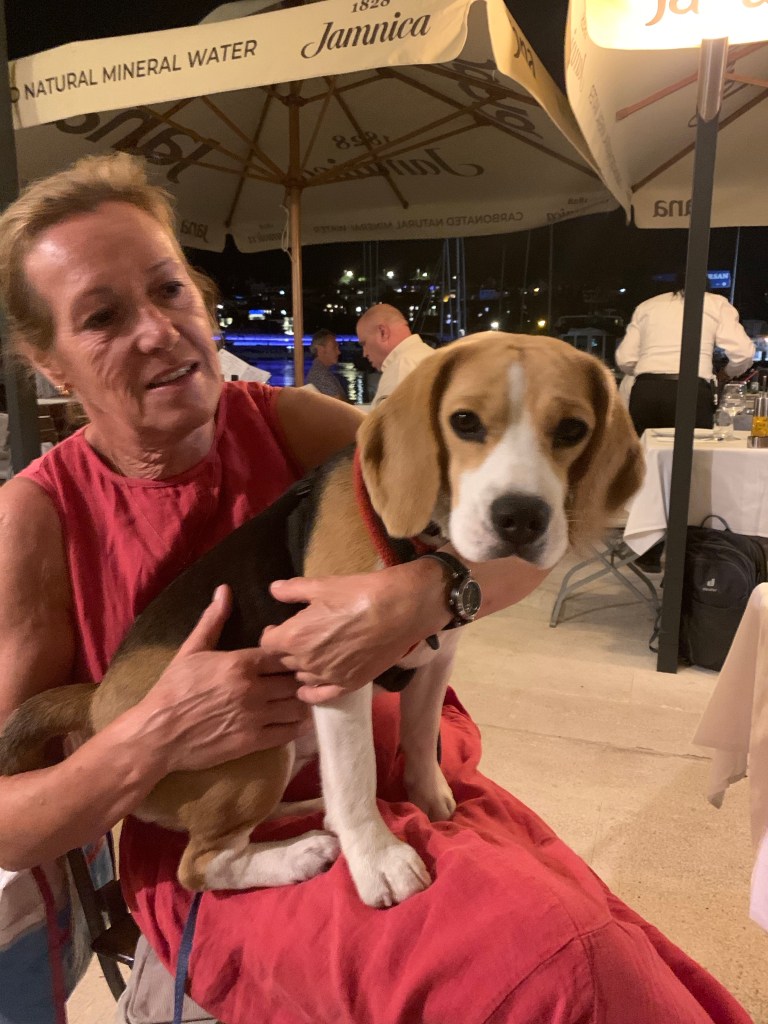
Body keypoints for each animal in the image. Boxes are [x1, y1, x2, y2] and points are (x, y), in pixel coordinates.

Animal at [0, 333, 643, 909]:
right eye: (464, 422)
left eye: (572, 430)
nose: (521, 518)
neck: (418, 547)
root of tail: (96, 703)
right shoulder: (338, 672)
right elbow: (357, 779)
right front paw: (378, 860)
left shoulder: (435, 664)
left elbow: (420, 737)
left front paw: (427, 797)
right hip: (253, 753)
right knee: (203, 864)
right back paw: (301, 853)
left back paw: (306, 812)